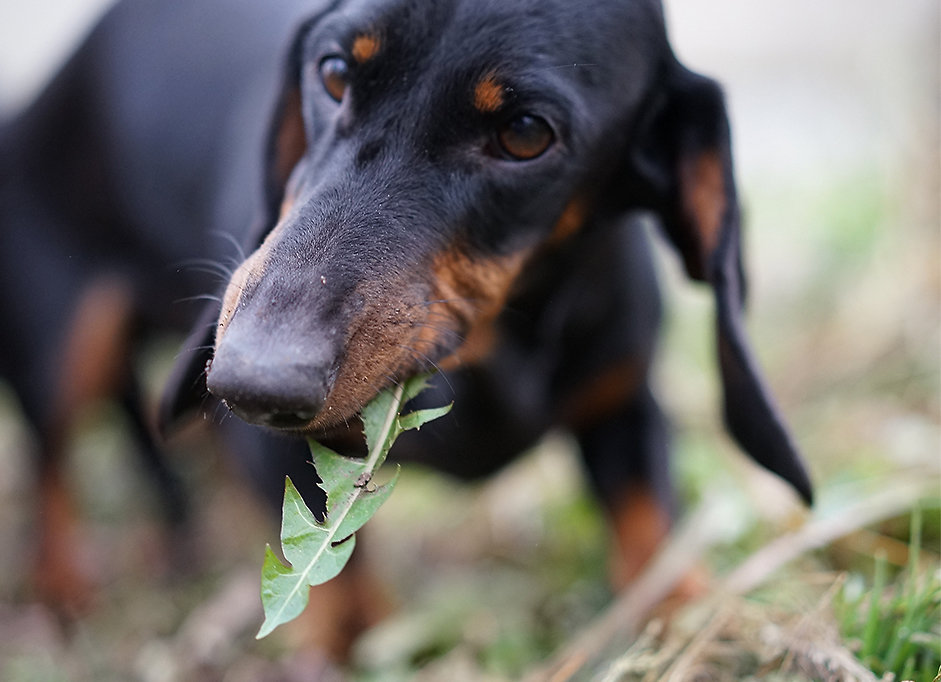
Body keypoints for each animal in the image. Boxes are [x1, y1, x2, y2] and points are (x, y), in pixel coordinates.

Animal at [0, 0, 812, 640]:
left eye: (525, 132)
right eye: (332, 73)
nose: (250, 382)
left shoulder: (625, 405)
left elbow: (652, 537)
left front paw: (699, 619)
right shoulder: (271, 456)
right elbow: (336, 599)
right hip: (66, 344)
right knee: (51, 461)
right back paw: (62, 586)